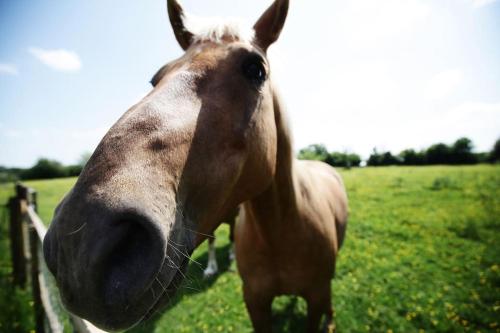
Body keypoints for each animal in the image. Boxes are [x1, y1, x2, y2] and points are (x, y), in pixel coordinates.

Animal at [42, 1, 348, 330]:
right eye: (156, 78)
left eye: (256, 69)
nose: (81, 246)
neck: (281, 233)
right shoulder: (256, 304)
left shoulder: (316, 296)